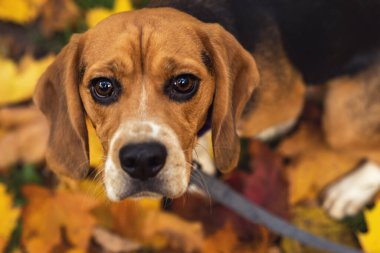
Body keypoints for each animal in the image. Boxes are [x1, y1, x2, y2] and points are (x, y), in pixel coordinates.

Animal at [34, 0, 380, 219]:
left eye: (184, 82)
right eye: (103, 87)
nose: (142, 159)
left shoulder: (289, 98)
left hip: (340, 121)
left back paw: (349, 191)